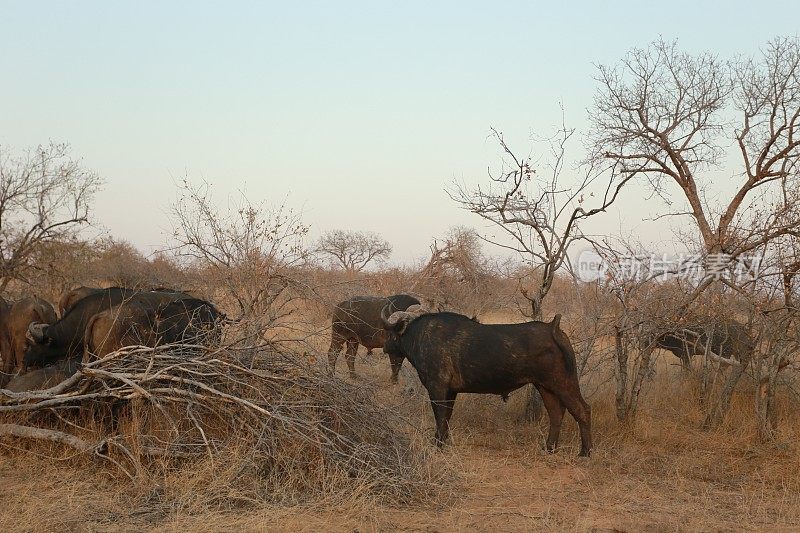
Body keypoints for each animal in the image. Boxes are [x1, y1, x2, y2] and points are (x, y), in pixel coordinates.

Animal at [378, 306, 592, 456]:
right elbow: (446, 417)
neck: (418, 335)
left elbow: (439, 415)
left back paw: (585, 452)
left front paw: (437, 444)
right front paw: (444, 441)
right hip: (545, 387)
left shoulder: (437, 387)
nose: (385, 347)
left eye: (389, 333)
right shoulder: (451, 391)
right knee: (556, 414)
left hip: (563, 383)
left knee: (582, 409)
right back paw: (549, 448)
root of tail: (553, 329)